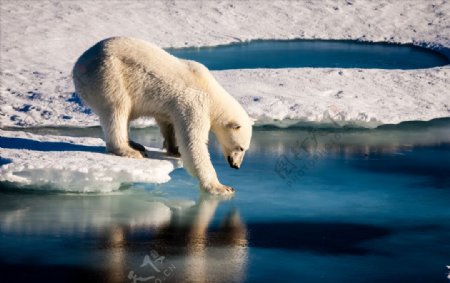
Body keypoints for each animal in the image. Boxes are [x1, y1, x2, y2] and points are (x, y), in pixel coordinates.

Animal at [72, 37, 251, 195]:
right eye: (240, 148)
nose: (236, 166)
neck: (211, 93)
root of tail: (78, 65)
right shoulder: (194, 104)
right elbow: (193, 143)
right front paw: (221, 187)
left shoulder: (173, 106)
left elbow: (168, 123)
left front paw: (174, 149)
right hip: (108, 75)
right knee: (117, 109)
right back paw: (130, 150)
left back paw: (136, 144)